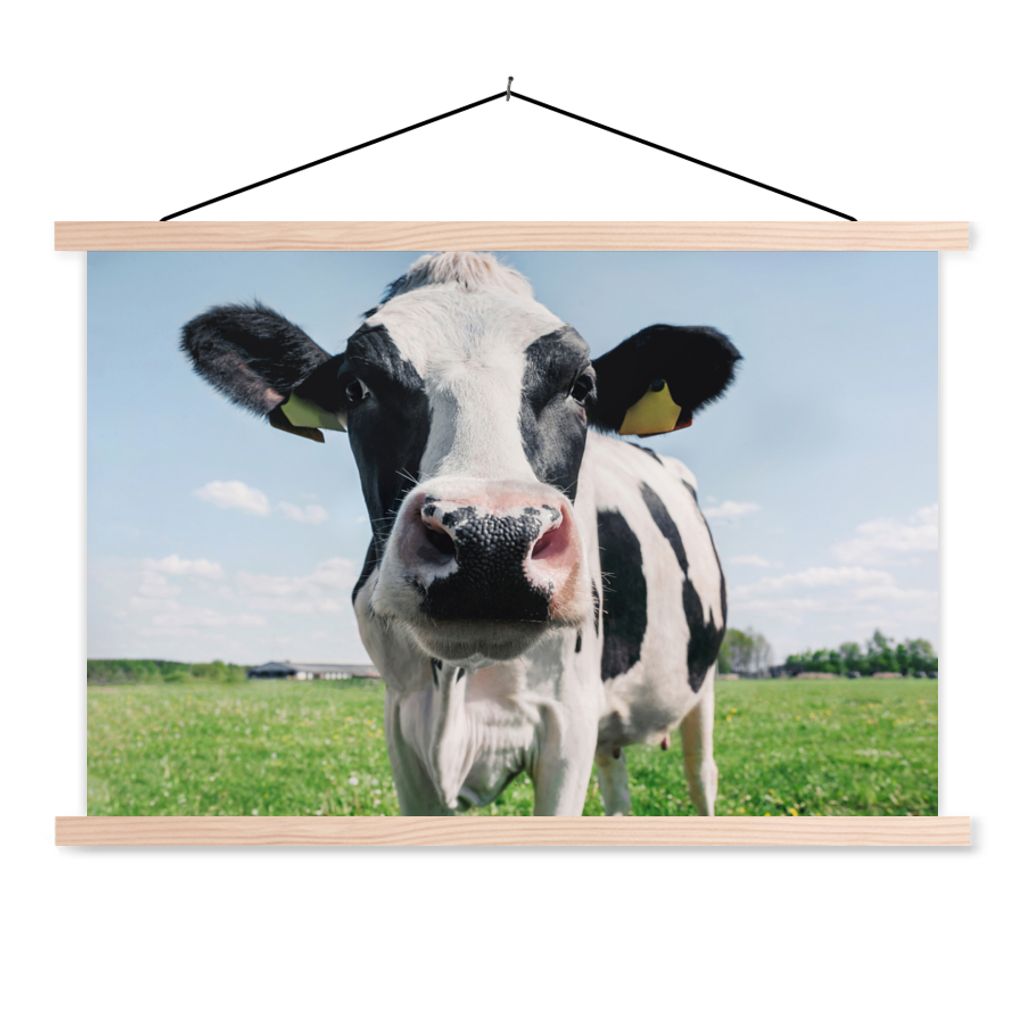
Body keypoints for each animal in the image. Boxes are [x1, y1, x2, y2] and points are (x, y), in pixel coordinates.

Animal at [181, 252, 741, 815]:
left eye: (581, 386)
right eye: (356, 387)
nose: (493, 541)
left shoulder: (569, 722)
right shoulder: (403, 724)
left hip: (702, 686)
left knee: (703, 774)